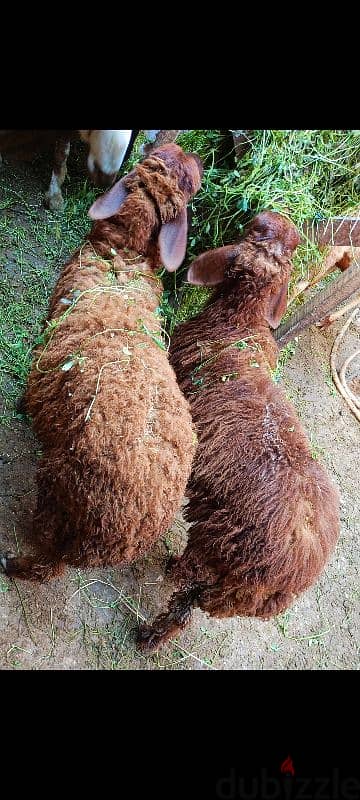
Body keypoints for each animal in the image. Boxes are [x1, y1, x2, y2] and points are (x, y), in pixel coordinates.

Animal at [0, 142, 202, 580]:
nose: (195, 155)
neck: (124, 256)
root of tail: (129, 531)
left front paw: (21, 404)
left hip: (62, 495)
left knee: (48, 561)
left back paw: (12, 562)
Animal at [137, 211, 340, 648]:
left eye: (252, 229)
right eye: (265, 228)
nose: (262, 213)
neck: (240, 322)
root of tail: (288, 582)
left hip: (216, 553)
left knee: (184, 594)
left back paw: (152, 620)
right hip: (226, 586)